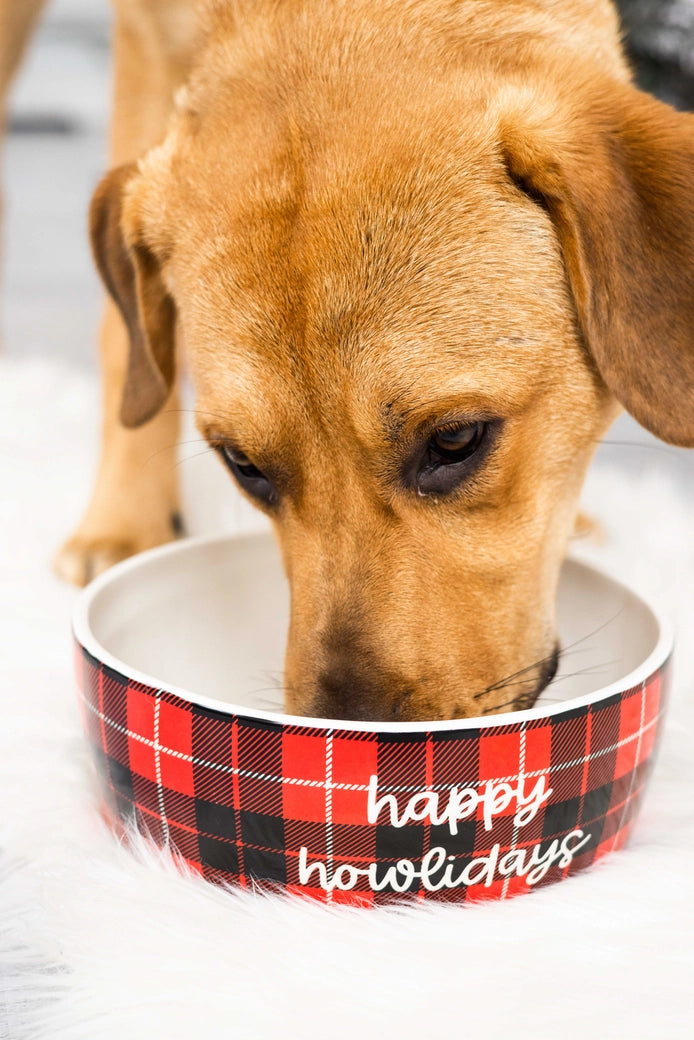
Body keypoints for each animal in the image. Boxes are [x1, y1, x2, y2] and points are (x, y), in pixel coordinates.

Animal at [2, 0, 690, 723]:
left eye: (456, 440)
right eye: (243, 465)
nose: (353, 736)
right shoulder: (143, 41)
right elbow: (129, 349)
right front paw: (125, 523)